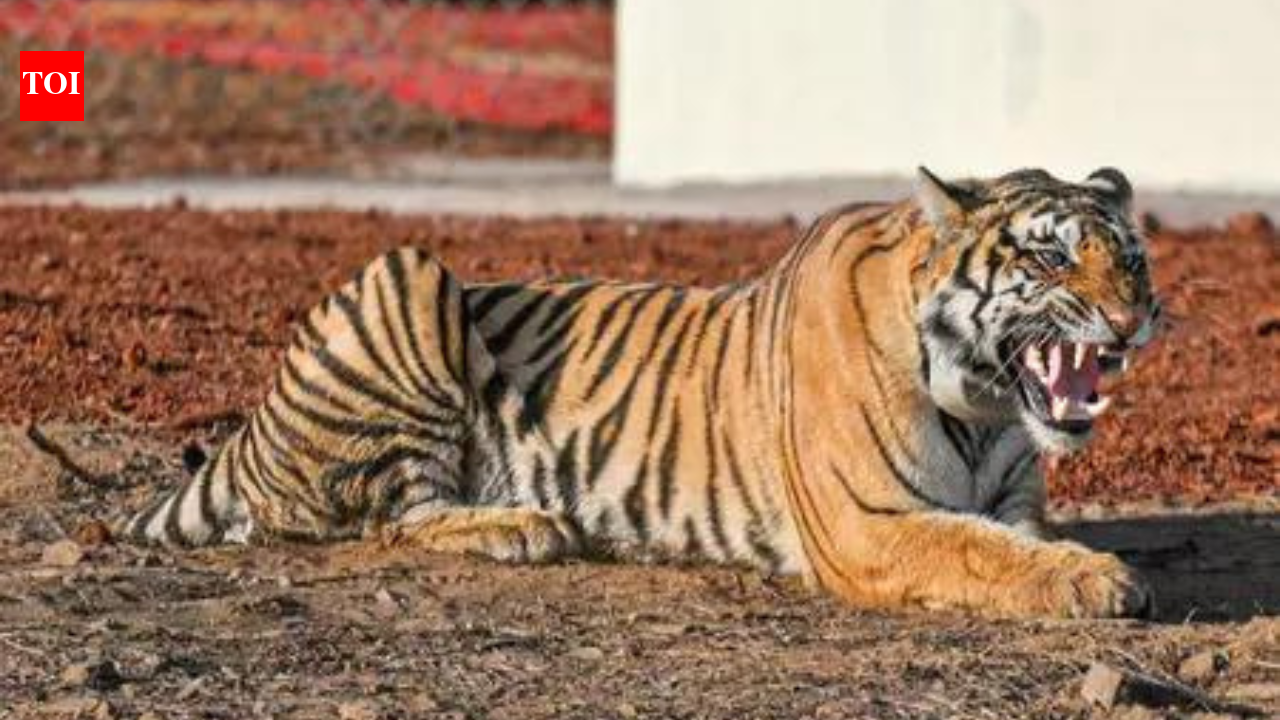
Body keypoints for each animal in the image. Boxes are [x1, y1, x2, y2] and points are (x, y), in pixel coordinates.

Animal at [123, 167, 1160, 619]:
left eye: (1133, 258)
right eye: (1051, 257)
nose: (1133, 317)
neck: (986, 406)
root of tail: (251, 429)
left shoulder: (1010, 499)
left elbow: (1006, 539)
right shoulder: (867, 519)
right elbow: (976, 550)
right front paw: (1099, 580)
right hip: (407, 271)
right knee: (386, 519)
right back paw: (526, 525)